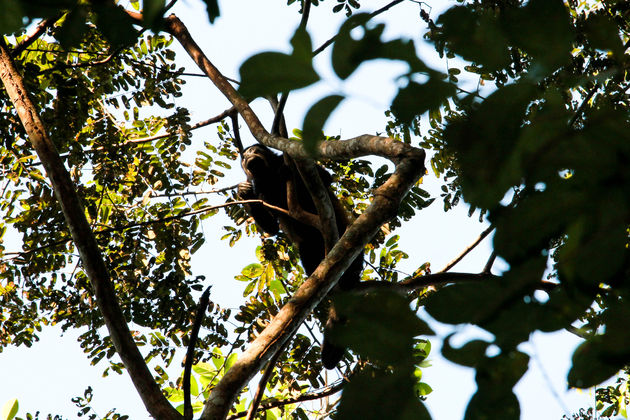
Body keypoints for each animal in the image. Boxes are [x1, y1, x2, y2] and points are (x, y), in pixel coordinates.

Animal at [238, 144, 366, 368]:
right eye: (244, 156)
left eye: (254, 150)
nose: (249, 156)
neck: (268, 174)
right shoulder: (259, 188)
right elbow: (271, 228)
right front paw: (242, 192)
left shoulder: (291, 161)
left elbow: (324, 178)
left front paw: (285, 171)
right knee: (307, 250)